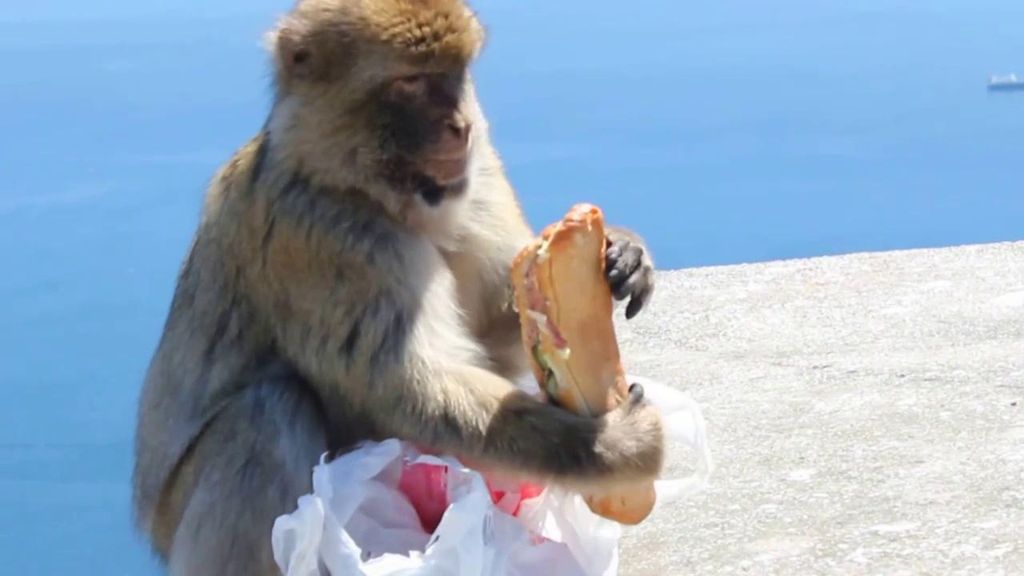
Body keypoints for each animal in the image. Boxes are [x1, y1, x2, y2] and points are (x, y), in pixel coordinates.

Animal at [131, 1, 661, 574]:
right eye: (411, 83)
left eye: (455, 74)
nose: (460, 126)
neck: (359, 186)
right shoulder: (330, 236)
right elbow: (407, 386)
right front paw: (614, 448)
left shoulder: (478, 175)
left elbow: (501, 318)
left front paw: (622, 251)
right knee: (266, 414)